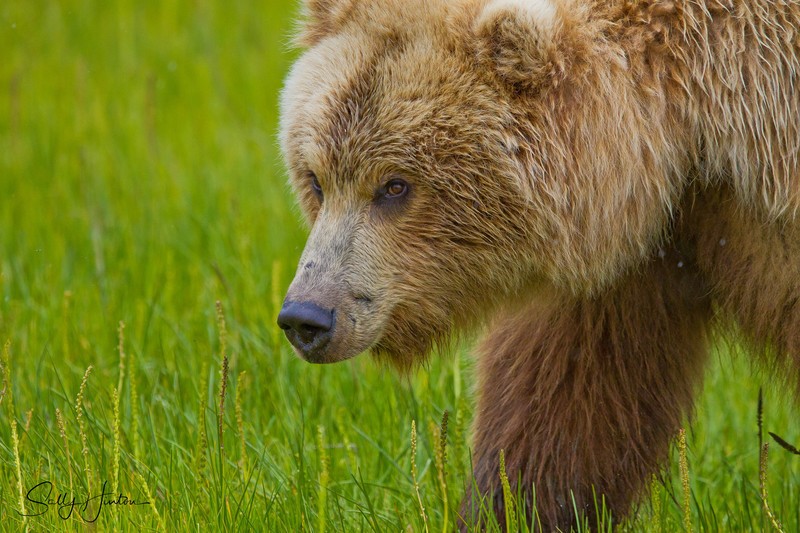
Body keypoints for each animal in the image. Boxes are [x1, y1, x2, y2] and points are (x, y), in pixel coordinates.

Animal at [277, 0, 800, 529]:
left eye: (395, 185)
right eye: (316, 179)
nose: (307, 316)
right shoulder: (633, 250)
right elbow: (566, 398)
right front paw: (510, 506)